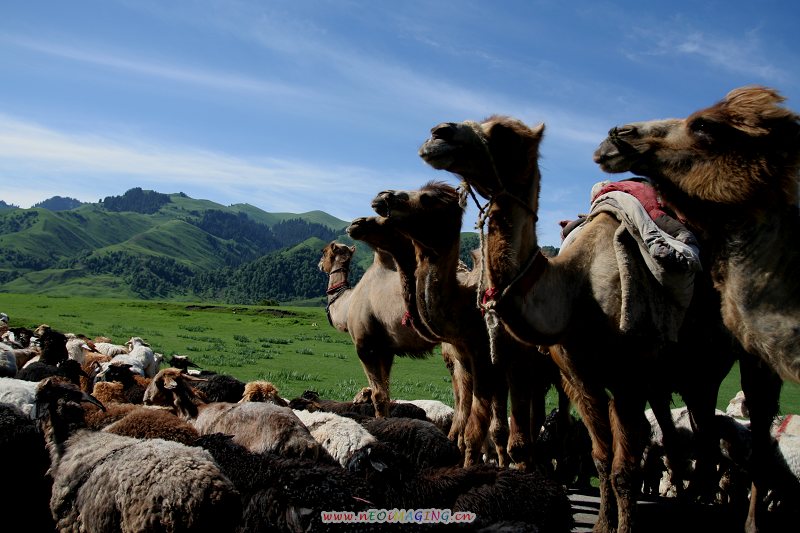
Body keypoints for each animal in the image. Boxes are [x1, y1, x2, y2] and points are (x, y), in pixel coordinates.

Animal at [318, 239, 438, 418]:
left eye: (324, 252)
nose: (319, 264)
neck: (347, 305)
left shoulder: (366, 345)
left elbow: (378, 395)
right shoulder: (386, 349)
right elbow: (386, 393)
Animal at [418, 115, 732, 532]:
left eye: (504, 132)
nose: (438, 134)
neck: (577, 291)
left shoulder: (629, 377)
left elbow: (624, 468)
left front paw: (623, 527)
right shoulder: (581, 376)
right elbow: (604, 457)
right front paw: (602, 524)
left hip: (708, 371)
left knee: (711, 440)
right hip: (665, 379)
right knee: (677, 439)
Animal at [592, 84, 800, 532]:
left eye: (704, 126)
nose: (615, 135)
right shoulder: (656, 376)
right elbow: (667, 440)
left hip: (740, 366)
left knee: (755, 433)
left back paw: (746, 517)